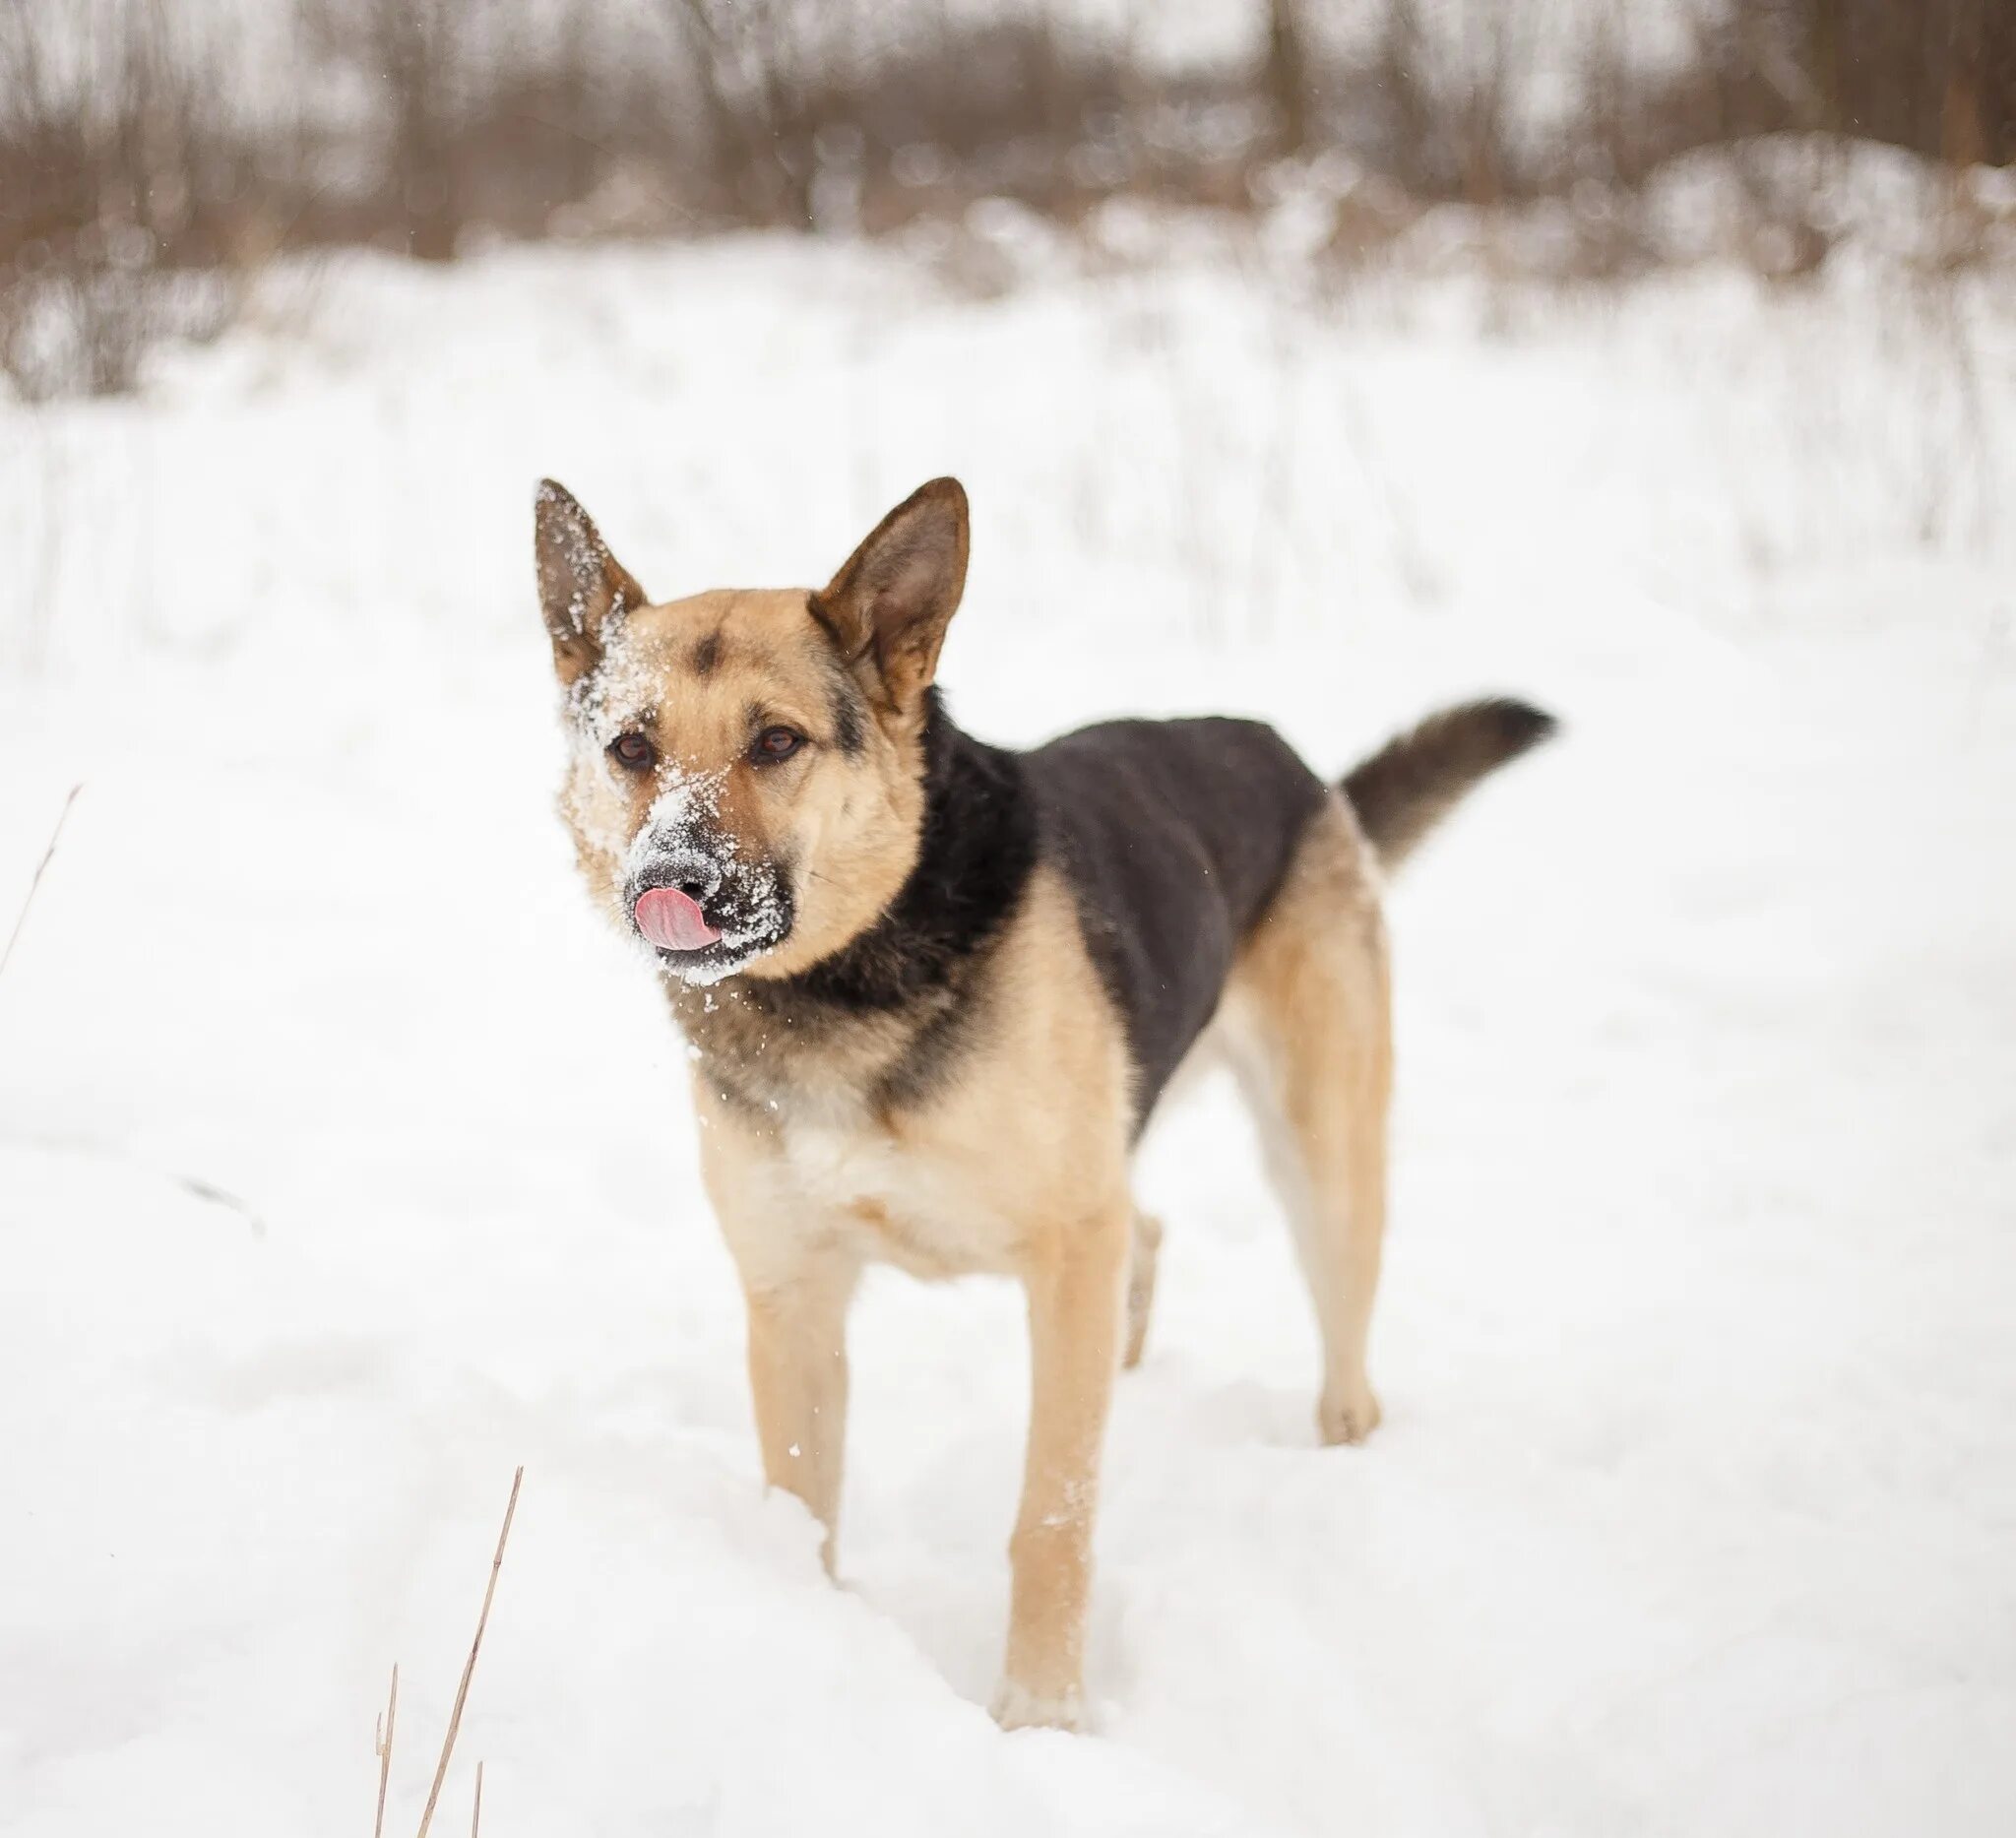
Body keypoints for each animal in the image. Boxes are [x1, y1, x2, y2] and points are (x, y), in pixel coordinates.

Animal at [528, 469, 1547, 1725]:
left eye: (775, 741)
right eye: (631, 746)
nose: (670, 882)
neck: (845, 981)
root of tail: (1297, 769)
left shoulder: (1063, 1253)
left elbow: (1050, 1518)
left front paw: (1041, 1715)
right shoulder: (793, 1294)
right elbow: (801, 1506)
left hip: (1321, 1157)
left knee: (1338, 1339)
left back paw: (1343, 1455)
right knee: (1146, 1237)